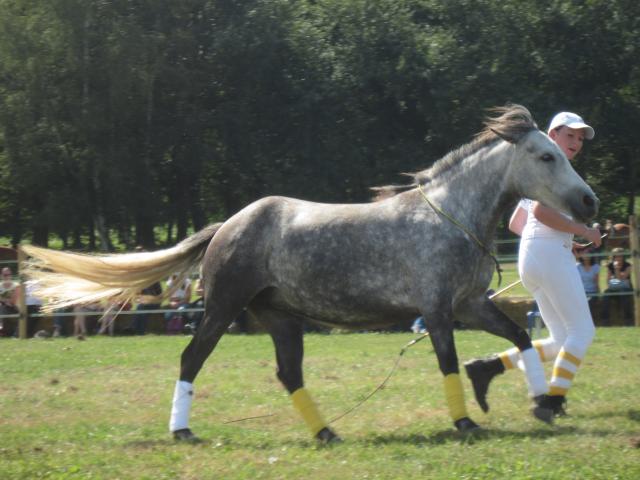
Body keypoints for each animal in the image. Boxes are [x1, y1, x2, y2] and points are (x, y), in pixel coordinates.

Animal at [23, 104, 596, 442]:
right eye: (546, 156)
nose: (589, 202)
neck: (449, 216)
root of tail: (229, 224)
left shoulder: (469, 305)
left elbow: (520, 336)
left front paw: (541, 403)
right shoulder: (436, 311)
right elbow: (448, 364)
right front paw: (464, 421)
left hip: (281, 318)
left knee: (289, 374)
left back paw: (326, 433)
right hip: (223, 308)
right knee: (191, 358)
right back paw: (182, 431)